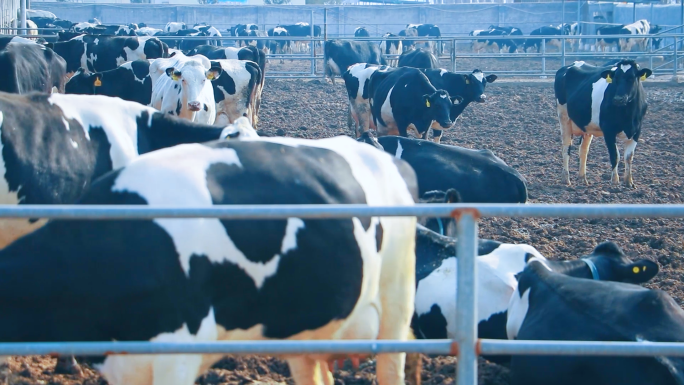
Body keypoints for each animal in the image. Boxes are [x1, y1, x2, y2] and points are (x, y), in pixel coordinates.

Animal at [552, 58, 648, 188]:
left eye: (632, 78)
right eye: (615, 78)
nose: (618, 99)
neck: (628, 114)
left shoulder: (636, 131)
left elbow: (629, 157)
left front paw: (629, 182)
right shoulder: (608, 130)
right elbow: (615, 155)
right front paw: (615, 181)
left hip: (587, 127)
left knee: (583, 150)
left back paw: (583, 178)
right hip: (564, 117)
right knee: (566, 147)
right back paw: (566, 179)